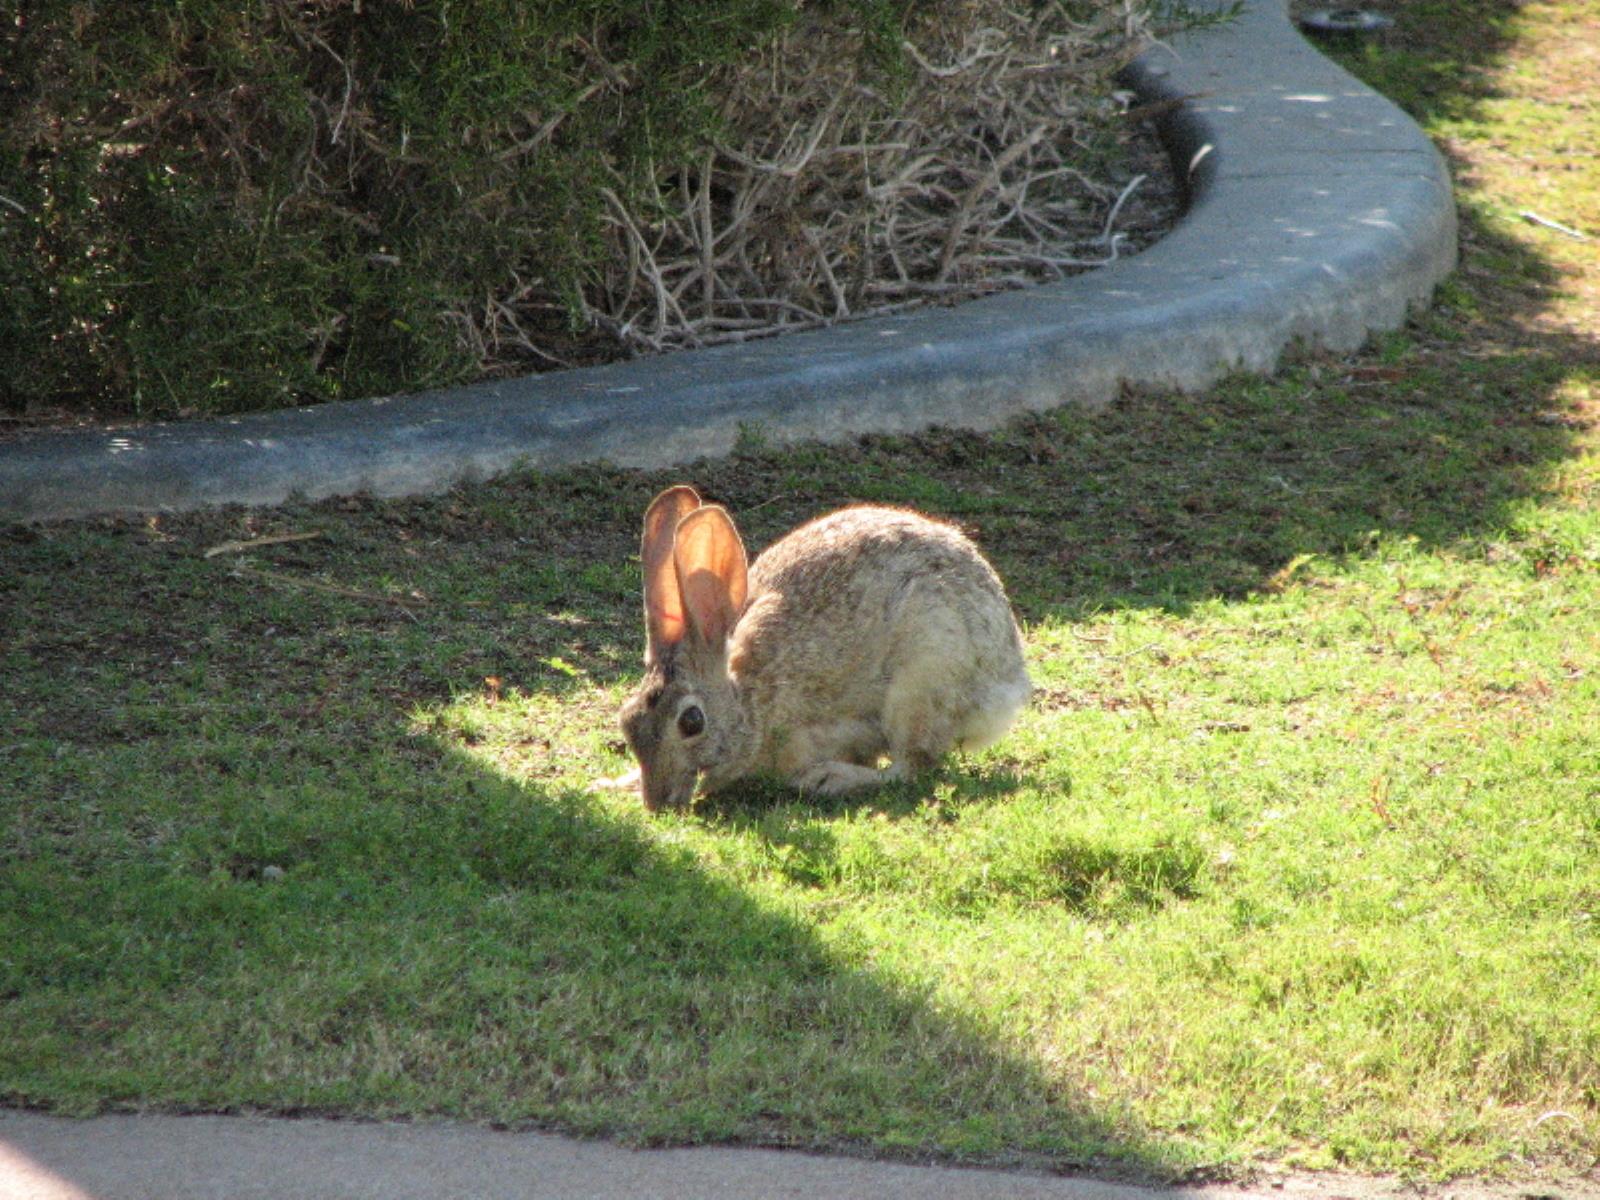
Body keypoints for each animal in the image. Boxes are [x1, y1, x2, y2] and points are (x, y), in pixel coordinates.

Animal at [600, 484, 1032, 812]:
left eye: (692, 722)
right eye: (627, 721)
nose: (657, 803)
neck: (747, 701)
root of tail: (1009, 683)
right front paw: (611, 784)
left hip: (924, 678)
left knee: (912, 766)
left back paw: (830, 778)